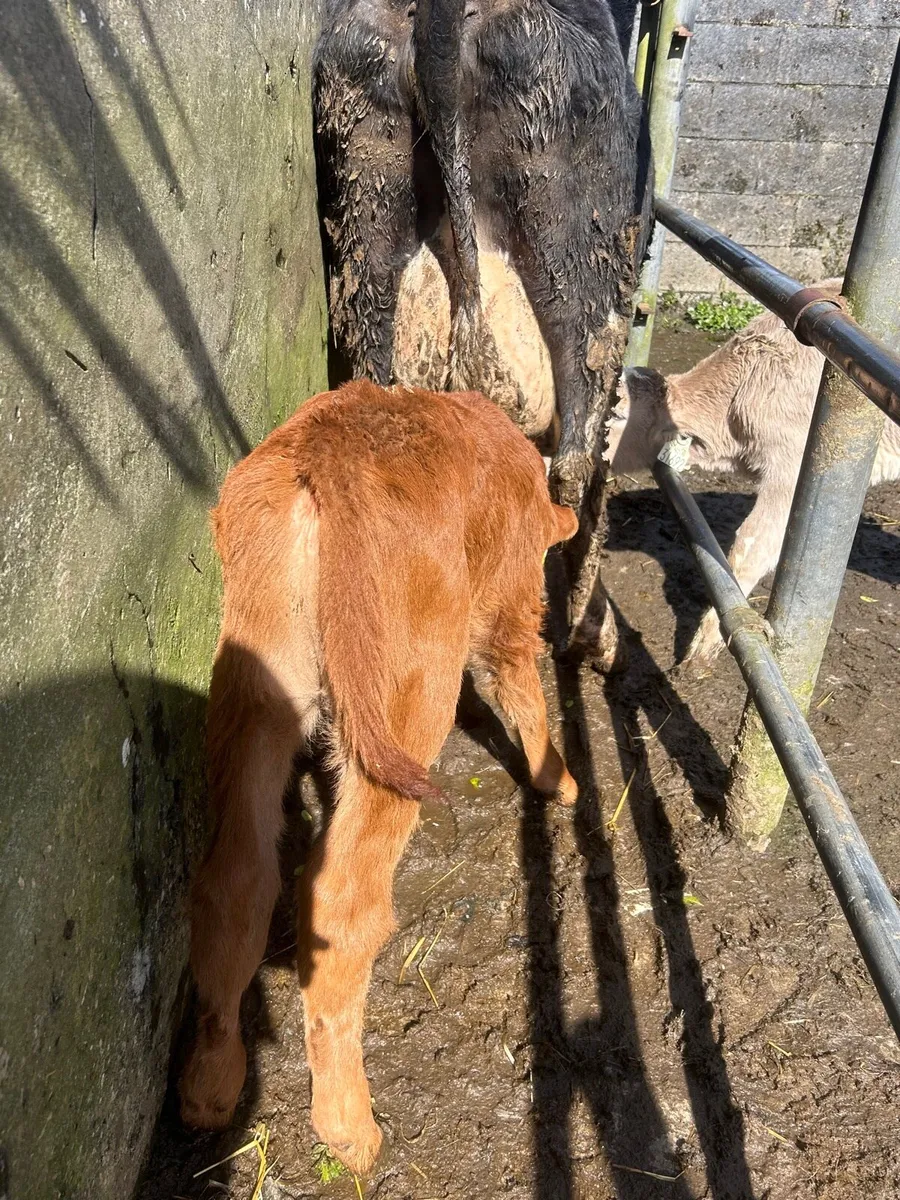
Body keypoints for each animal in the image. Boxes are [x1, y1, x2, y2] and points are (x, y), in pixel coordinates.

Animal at [178, 381, 578, 1173]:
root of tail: (331, 446)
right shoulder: (509, 606)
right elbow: (522, 688)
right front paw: (561, 782)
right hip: (405, 703)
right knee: (341, 899)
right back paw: (348, 1125)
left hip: (256, 687)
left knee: (236, 881)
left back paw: (211, 1087)